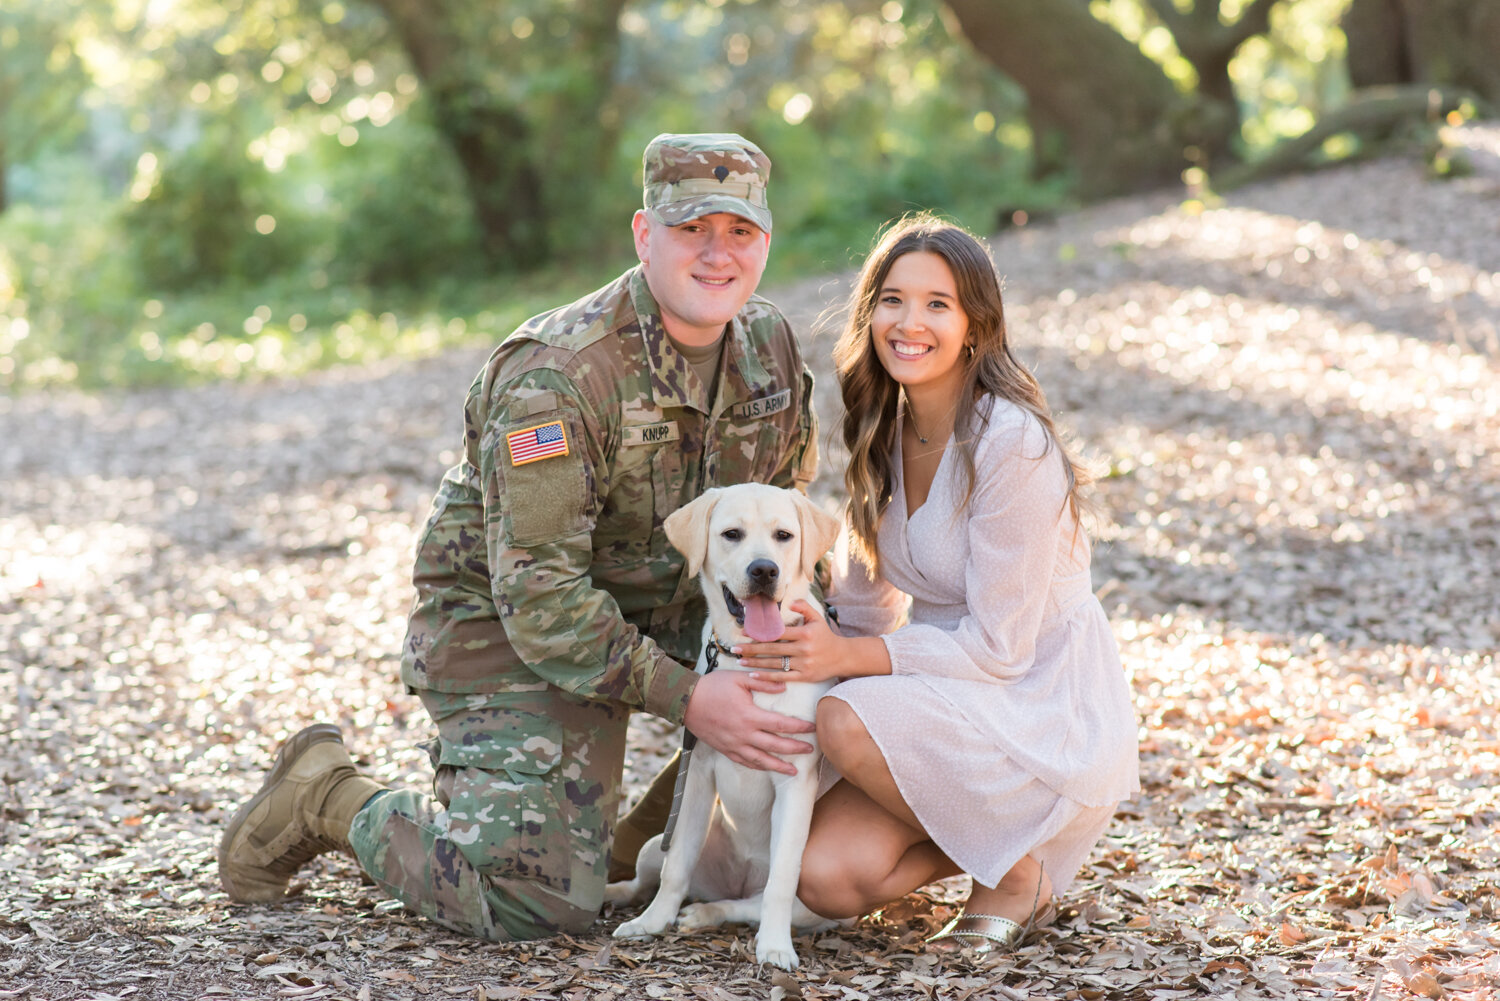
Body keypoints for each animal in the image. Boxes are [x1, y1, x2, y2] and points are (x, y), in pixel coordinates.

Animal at [609, 486, 846, 972]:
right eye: (731, 534)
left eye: (783, 536)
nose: (764, 570)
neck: (753, 658)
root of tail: (739, 877)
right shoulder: (697, 773)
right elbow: (676, 868)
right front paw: (653, 923)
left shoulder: (795, 784)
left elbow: (779, 883)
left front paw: (775, 947)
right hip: (658, 841)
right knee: (649, 877)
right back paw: (627, 903)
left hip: (815, 901)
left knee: (748, 903)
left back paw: (706, 914)